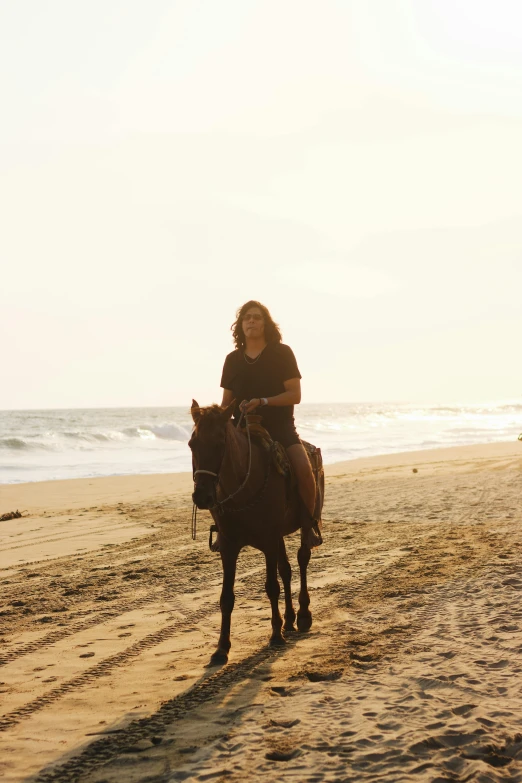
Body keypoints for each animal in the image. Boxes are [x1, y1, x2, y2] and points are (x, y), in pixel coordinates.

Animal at [189, 402, 322, 664]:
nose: (202, 496)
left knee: (302, 559)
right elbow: (226, 597)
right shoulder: (229, 546)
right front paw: (221, 648)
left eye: (220, 443)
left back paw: (302, 614)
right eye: (192, 443)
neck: (243, 488)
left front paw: (275, 635)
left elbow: (271, 587)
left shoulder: (268, 540)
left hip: (303, 523)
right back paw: (289, 620)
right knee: (286, 570)